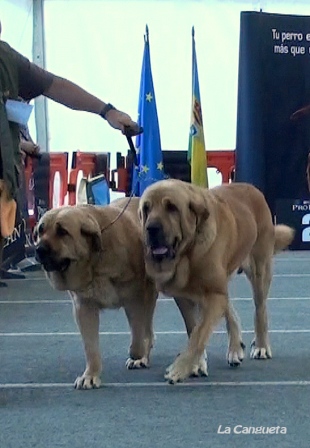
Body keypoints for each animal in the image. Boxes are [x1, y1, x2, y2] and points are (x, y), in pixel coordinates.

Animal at [139, 180, 294, 384]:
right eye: (146, 208)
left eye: (171, 207)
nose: (151, 228)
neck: (189, 252)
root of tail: (251, 187)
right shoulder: (186, 296)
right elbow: (194, 330)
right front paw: (196, 364)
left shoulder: (214, 293)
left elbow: (199, 333)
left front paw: (180, 368)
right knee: (230, 309)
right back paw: (235, 349)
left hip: (259, 269)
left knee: (260, 309)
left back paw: (261, 346)